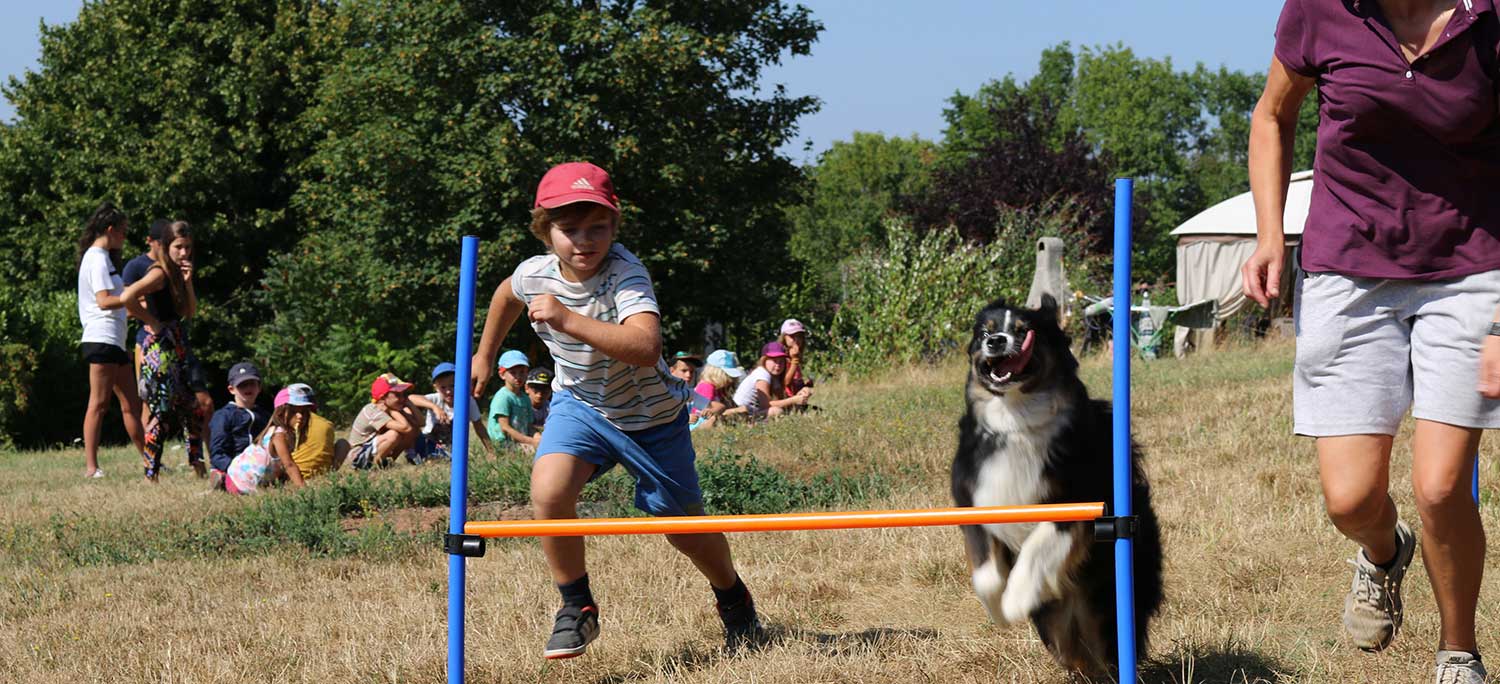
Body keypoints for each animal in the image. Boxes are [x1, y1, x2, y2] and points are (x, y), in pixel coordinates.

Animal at [948, 297, 1158, 675]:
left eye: (1023, 331)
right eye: (985, 332)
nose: (996, 341)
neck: (1016, 416)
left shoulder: (1078, 502)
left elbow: (1037, 547)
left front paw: (1015, 600)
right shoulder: (973, 499)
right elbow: (986, 576)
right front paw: (999, 610)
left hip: (1105, 597)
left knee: (1106, 649)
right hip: (1062, 623)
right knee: (1074, 650)